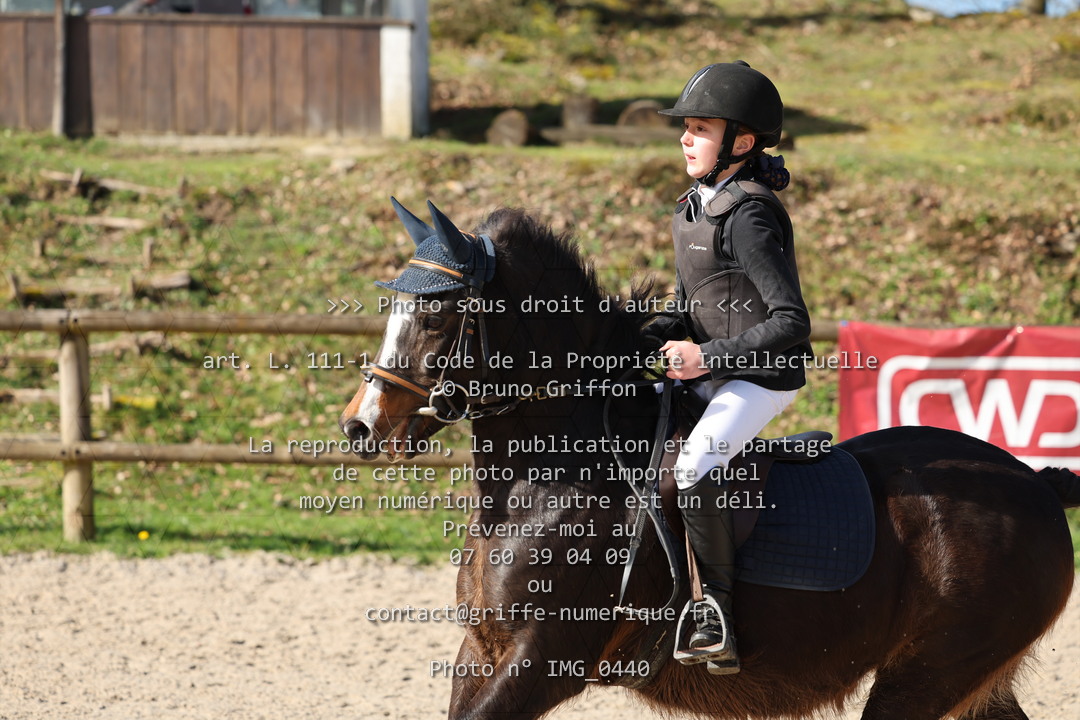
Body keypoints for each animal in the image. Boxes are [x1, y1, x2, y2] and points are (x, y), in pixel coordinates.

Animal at [339, 199, 1080, 720]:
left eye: (437, 316)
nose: (361, 427)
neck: (548, 482)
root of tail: (1036, 485)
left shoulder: (542, 659)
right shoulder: (483, 652)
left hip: (926, 675)